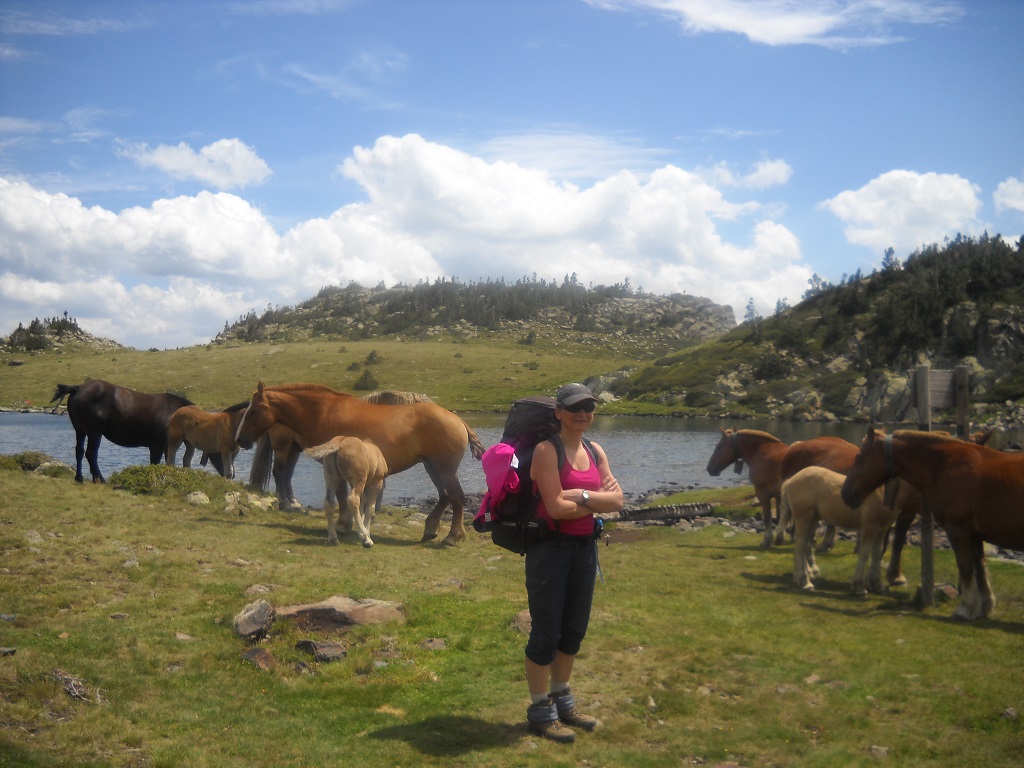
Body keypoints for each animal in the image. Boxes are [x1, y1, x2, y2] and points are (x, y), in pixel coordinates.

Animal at [50, 380, 195, 483]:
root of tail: (78, 387)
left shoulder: (166, 445)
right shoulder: (157, 444)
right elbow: (155, 463)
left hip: (80, 430)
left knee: (79, 451)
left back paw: (79, 478)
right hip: (95, 431)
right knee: (91, 453)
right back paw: (100, 479)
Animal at [237, 382, 485, 548]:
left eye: (254, 410)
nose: (240, 439)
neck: (323, 412)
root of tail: (457, 419)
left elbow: (341, 496)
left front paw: (344, 525)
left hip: (444, 469)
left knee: (456, 497)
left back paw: (452, 536)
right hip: (431, 466)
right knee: (444, 496)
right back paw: (431, 528)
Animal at [839, 430, 1024, 622]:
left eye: (859, 458)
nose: (845, 493)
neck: (944, 464)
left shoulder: (958, 530)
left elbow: (965, 566)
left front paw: (965, 607)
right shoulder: (974, 534)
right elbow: (980, 567)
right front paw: (986, 605)